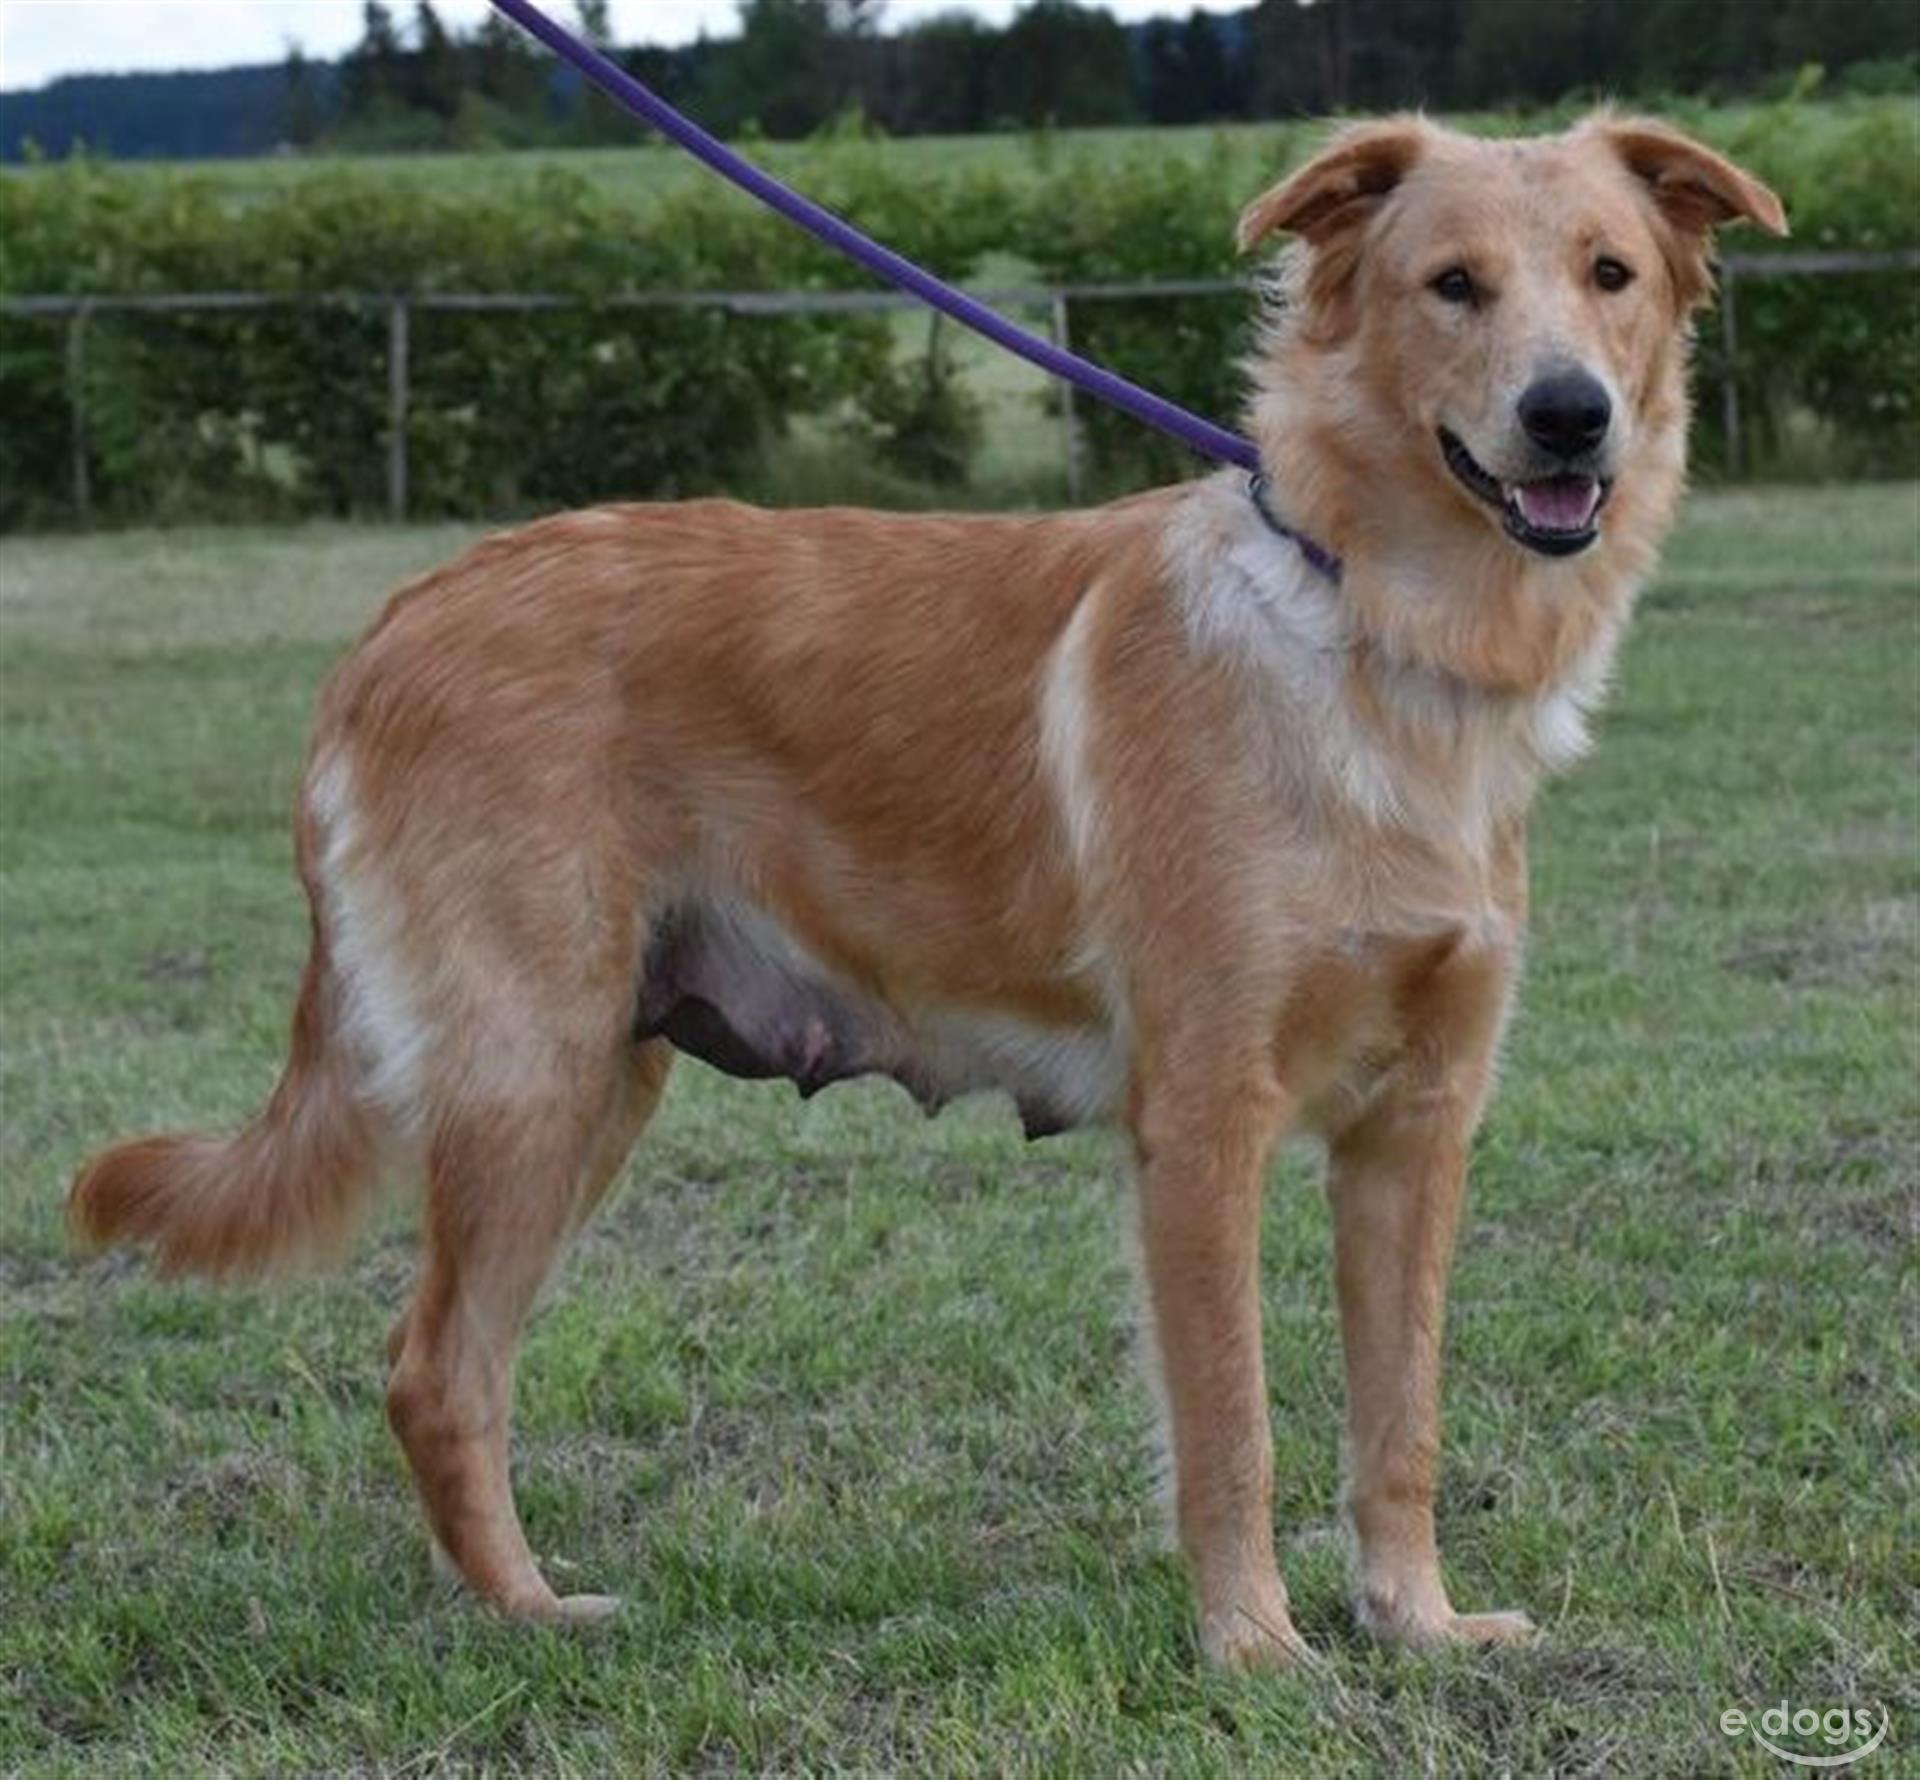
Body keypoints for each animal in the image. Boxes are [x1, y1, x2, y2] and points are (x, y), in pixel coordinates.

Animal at [74, 111, 1781, 1674]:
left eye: (1612, 275)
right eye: (1452, 285)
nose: (1570, 417)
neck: (1373, 640)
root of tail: (403, 616)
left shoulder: (1416, 1129)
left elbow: (1398, 1425)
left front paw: (1414, 1626)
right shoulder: (1203, 1127)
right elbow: (1231, 1426)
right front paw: (1256, 1652)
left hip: (601, 1079)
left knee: (457, 1371)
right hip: (529, 1082)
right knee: (434, 1369)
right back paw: (528, 1614)